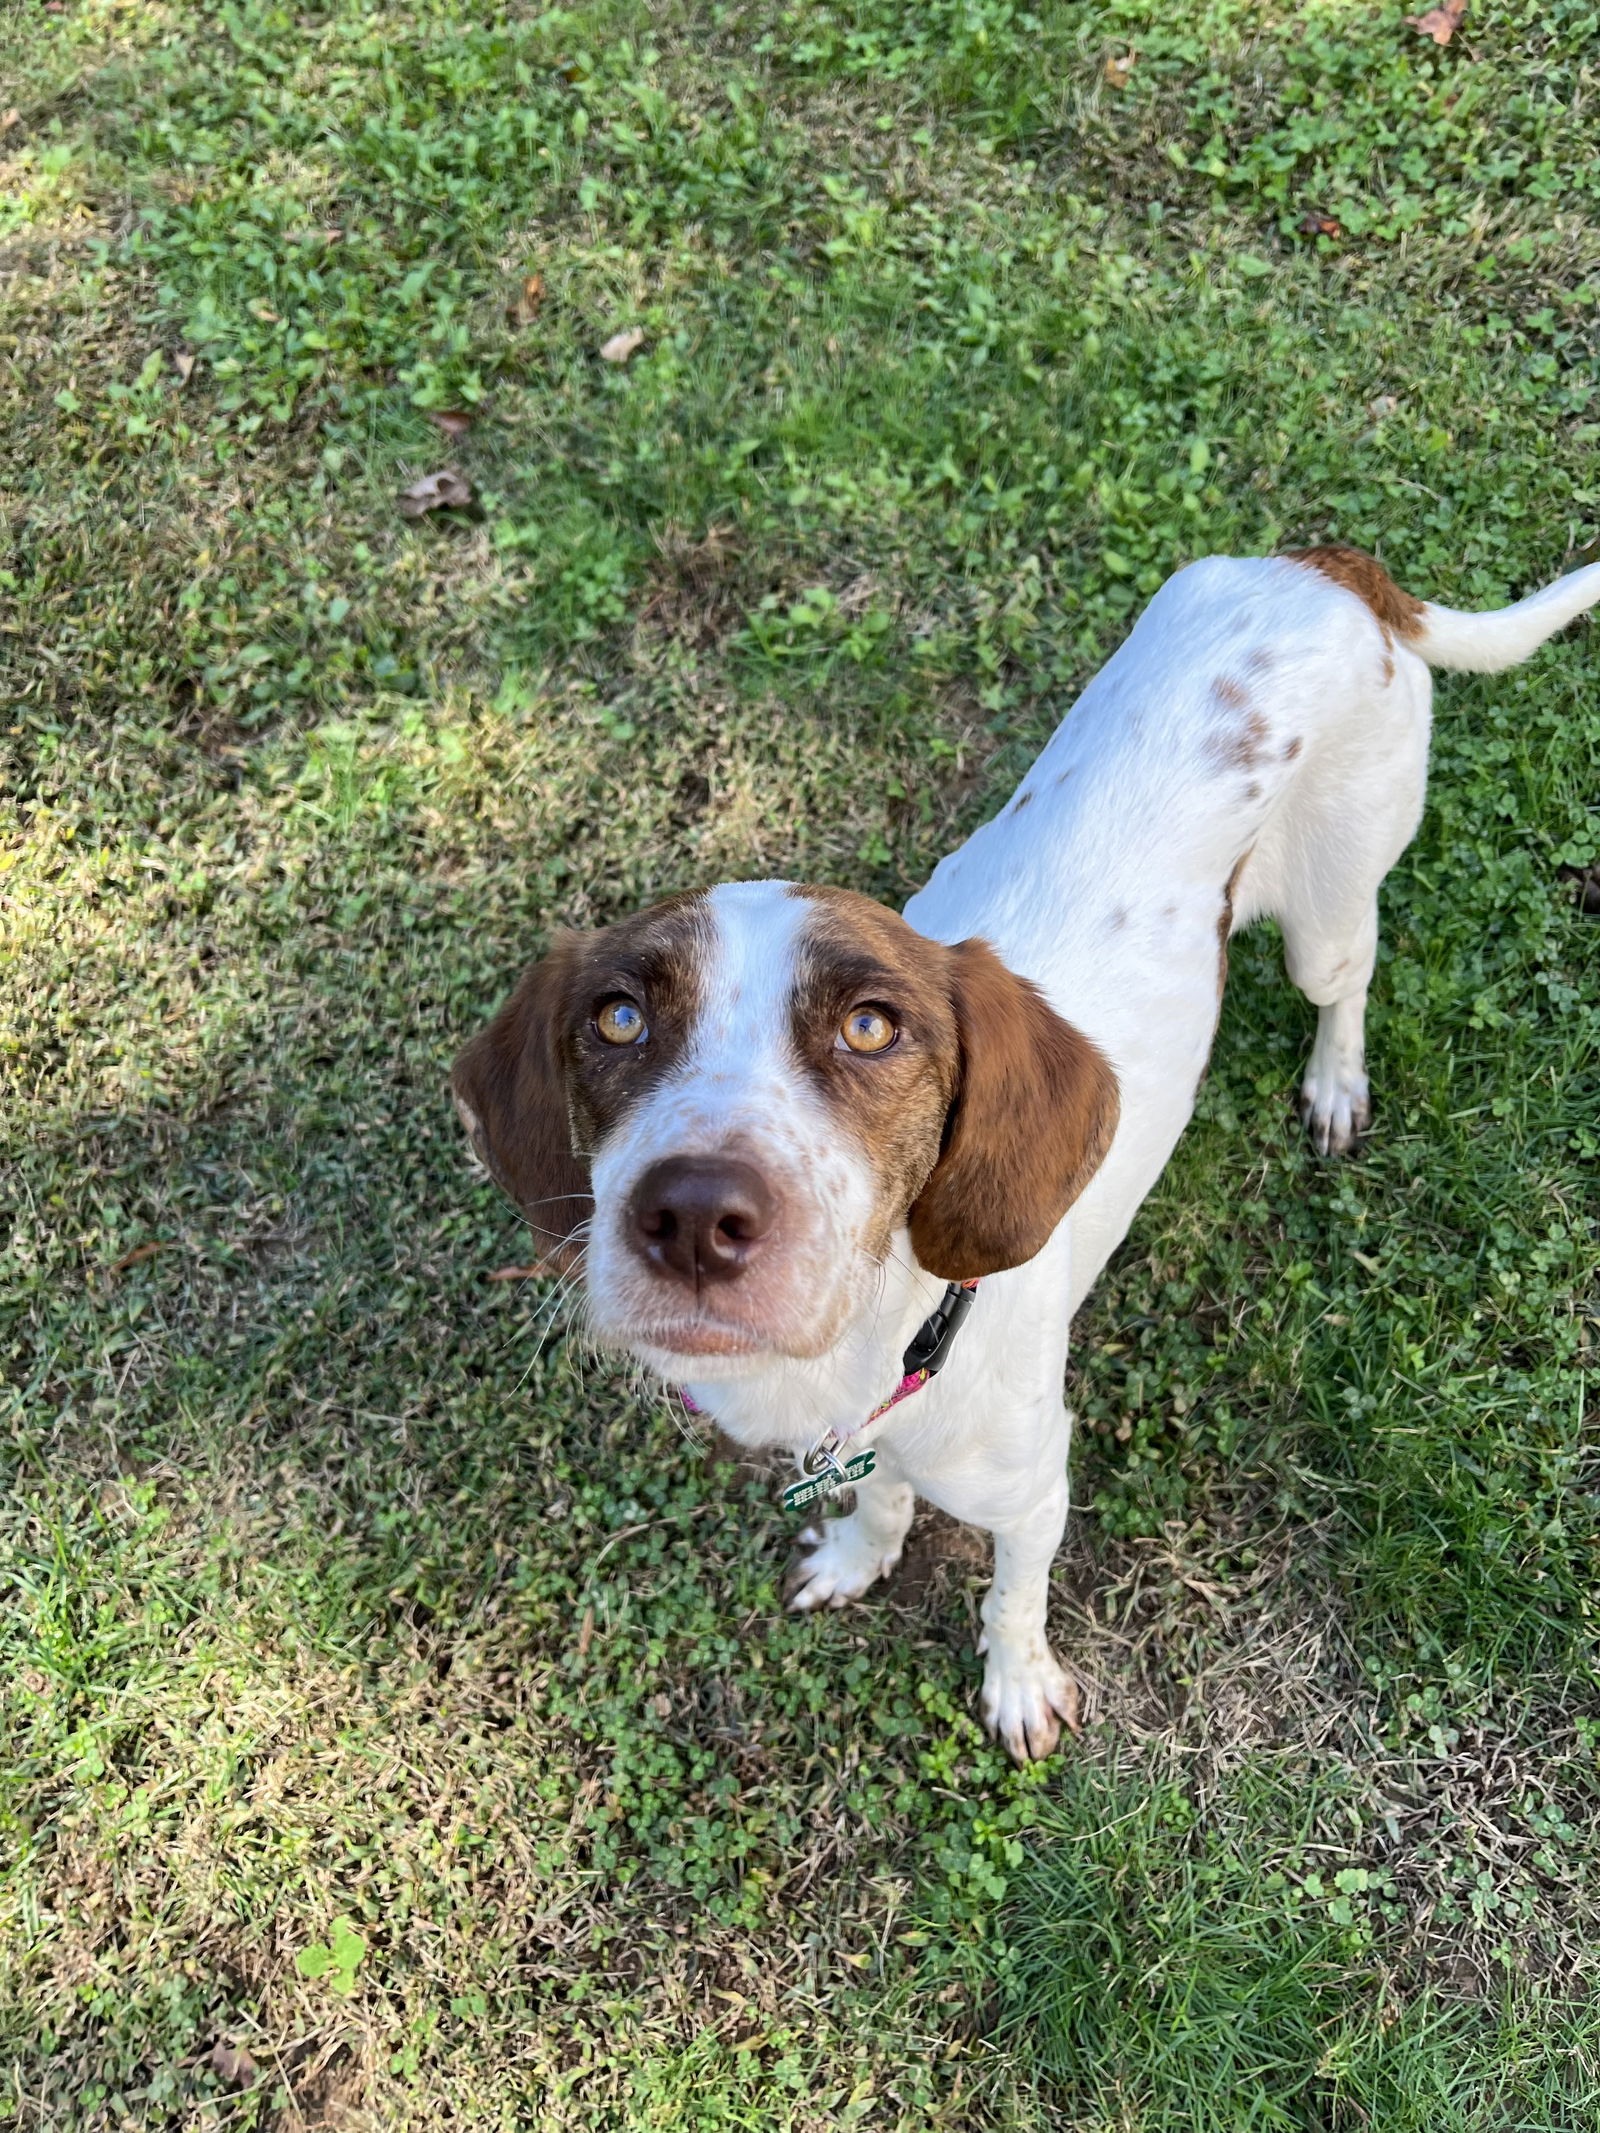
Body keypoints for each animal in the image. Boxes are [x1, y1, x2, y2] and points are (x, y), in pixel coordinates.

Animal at [454, 541, 1600, 1757]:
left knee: (1349, 981)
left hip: (1329, 911)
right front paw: (859, 1555)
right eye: (618, 1018)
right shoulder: (874, 1447)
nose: (689, 1218)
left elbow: (1012, 1596)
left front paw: (1017, 1683)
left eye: (872, 1027)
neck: (874, 1351)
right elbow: (880, 1502)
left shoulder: (1037, 1489)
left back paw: (1335, 1082)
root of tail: (1325, 565)